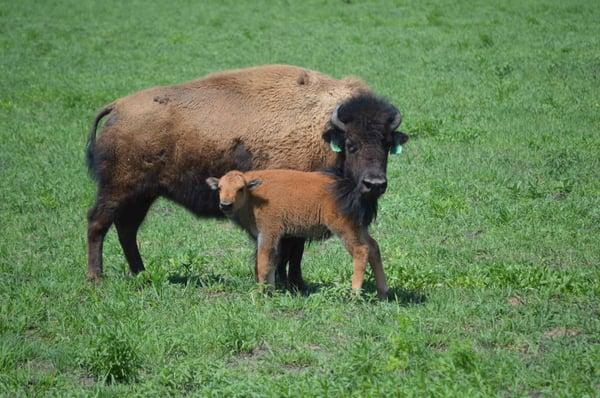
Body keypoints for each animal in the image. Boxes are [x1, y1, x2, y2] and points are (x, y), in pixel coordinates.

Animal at [207, 169, 390, 298]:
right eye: (220, 188)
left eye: (240, 189)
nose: (225, 205)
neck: (254, 196)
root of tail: (353, 188)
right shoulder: (272, 238)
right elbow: (272, 261)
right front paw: (271, 291)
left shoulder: (268, 233)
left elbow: (263, 262)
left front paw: (260, 293)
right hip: (359, 228)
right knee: (374, 248)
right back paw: (383, 293)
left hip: (345, 229)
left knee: (361, 250)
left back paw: (354, 294)